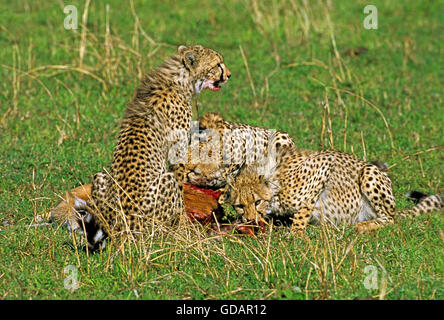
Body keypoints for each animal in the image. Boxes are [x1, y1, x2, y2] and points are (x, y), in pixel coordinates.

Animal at [64, 45, 231, 250]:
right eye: (217, 64)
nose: (229, 75)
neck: (180, 79)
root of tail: (124, 229)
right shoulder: (178, 152)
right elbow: (181, 191)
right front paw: (183, 226)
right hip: (164, 184)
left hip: (101, 177)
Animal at [224, 146, 442, 234]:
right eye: (239, 206)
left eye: (257, 201)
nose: (250, 220)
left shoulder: (325, 163)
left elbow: (303, 209)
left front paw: (296, 233)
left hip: (369, 172)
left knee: (390, 220)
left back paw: (362, 226)